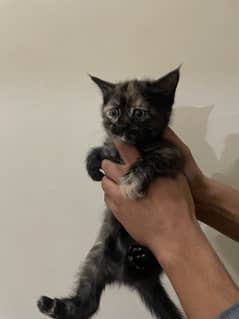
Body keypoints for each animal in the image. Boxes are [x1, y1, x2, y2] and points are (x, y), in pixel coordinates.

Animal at [37, 68, 184, 319]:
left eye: (138, 113)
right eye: (113, 112)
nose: (119, 126)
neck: (128, 148)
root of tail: (130, 277)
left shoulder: (173, 154)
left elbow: (151, 159)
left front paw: (131, 182)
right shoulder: (111, 147)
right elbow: (101, 149)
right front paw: (92, 167)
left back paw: (141, 258)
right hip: (96, 258)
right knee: (89, 303)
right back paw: (53, 305)